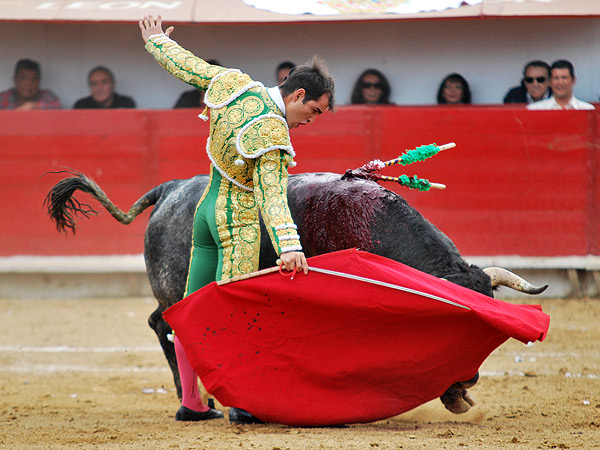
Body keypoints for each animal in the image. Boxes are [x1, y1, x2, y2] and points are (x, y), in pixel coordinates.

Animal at [44, 171, 548, 416]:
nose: (468, 382)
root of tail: (170, 190)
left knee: (160, 324)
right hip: (176, 283)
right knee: (172, 328)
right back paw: (201, 403)